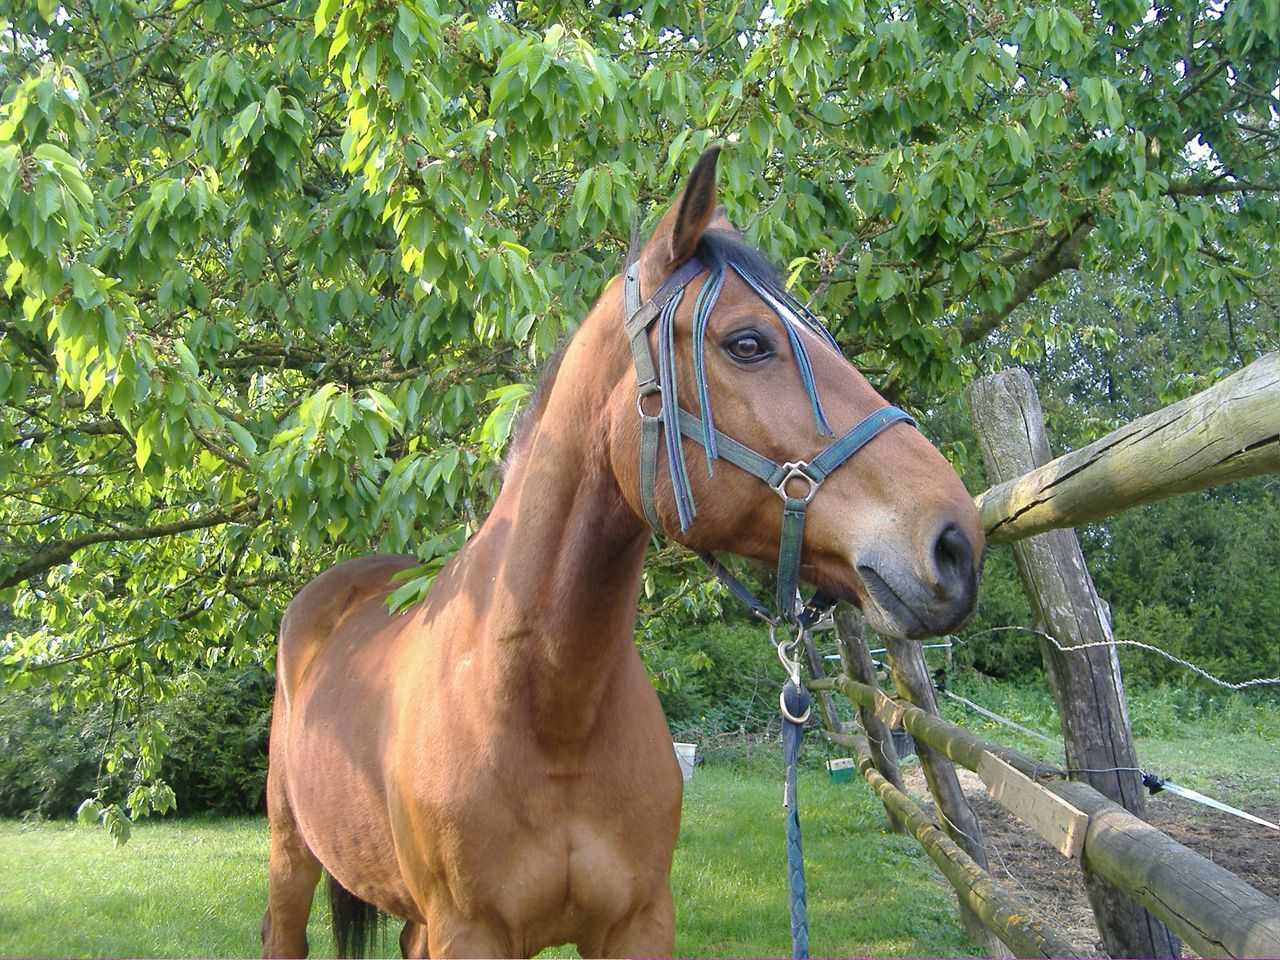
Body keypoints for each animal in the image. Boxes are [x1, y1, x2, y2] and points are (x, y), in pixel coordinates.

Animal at [257, 146, 977, 957]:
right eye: (748, 343)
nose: (957, 541)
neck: (546, 707)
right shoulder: (469, 933)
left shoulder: (639, 922)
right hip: (291, 855)